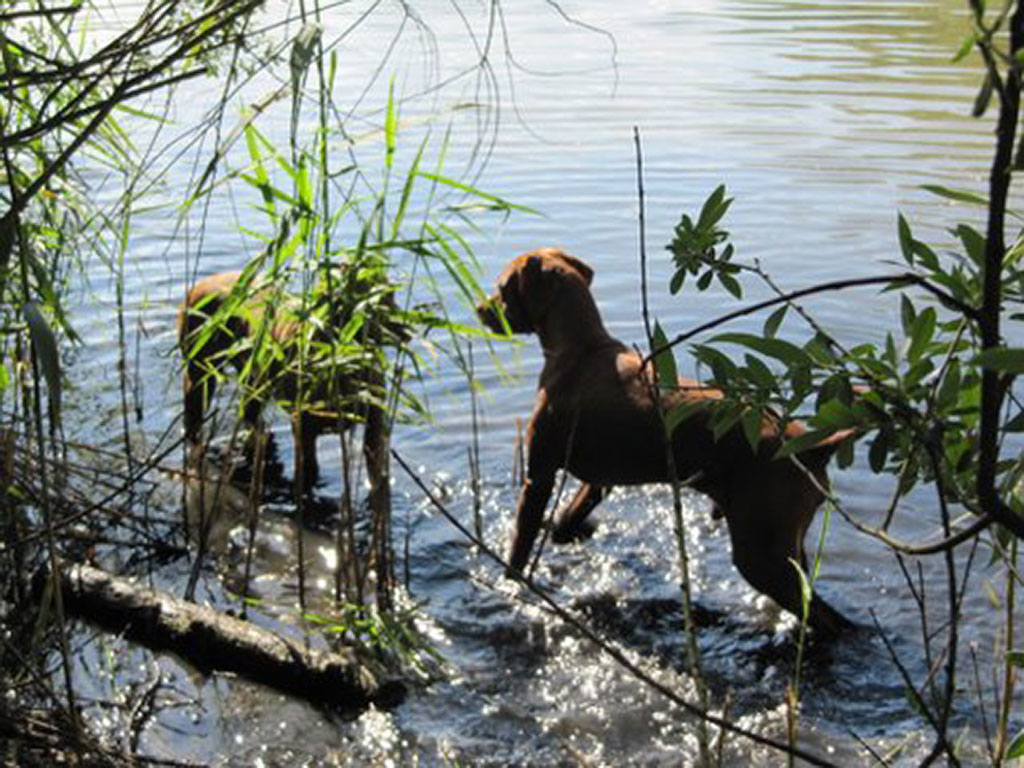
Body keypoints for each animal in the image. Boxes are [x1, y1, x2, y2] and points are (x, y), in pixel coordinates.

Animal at [178, 270, 395, 492]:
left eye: (389, 295)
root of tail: (199, 285)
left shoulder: (375, 430)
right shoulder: (302, 429)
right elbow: (308, 470)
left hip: (254, 380)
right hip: (199, 374)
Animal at [477, 248, 854, 636]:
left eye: (503, 287)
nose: (479, 309)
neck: (581, 350)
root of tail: (814, 448)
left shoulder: (538, 477)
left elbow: (520, 545)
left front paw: (507, 583)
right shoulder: (600, 479)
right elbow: (571, 514)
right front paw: (565, 534)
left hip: (760, 554)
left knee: (828, 619)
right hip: (787, 545)